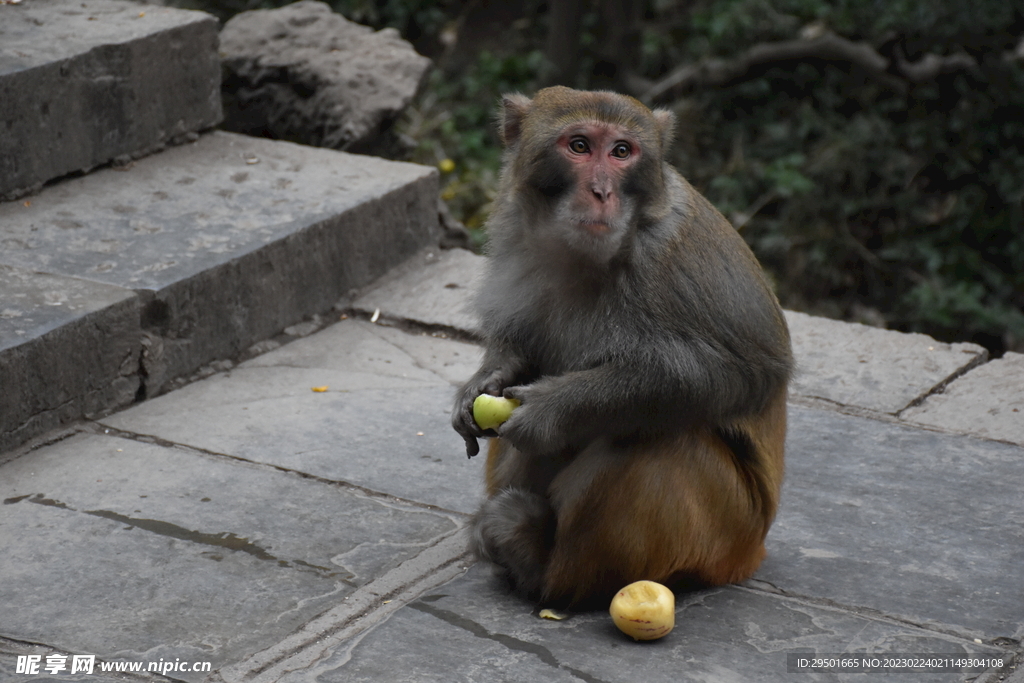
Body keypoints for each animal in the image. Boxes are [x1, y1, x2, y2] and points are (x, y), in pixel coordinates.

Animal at [450, 87, 790, 610]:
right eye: (579, 146)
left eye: (622, 152)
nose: (602, 192)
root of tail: (752, 554)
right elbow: (518, 343)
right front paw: (486, 380)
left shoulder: (677, 255)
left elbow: (746, 372)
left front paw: (553, 407)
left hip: (729, 530)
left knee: (659, 435)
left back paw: (547, 571)